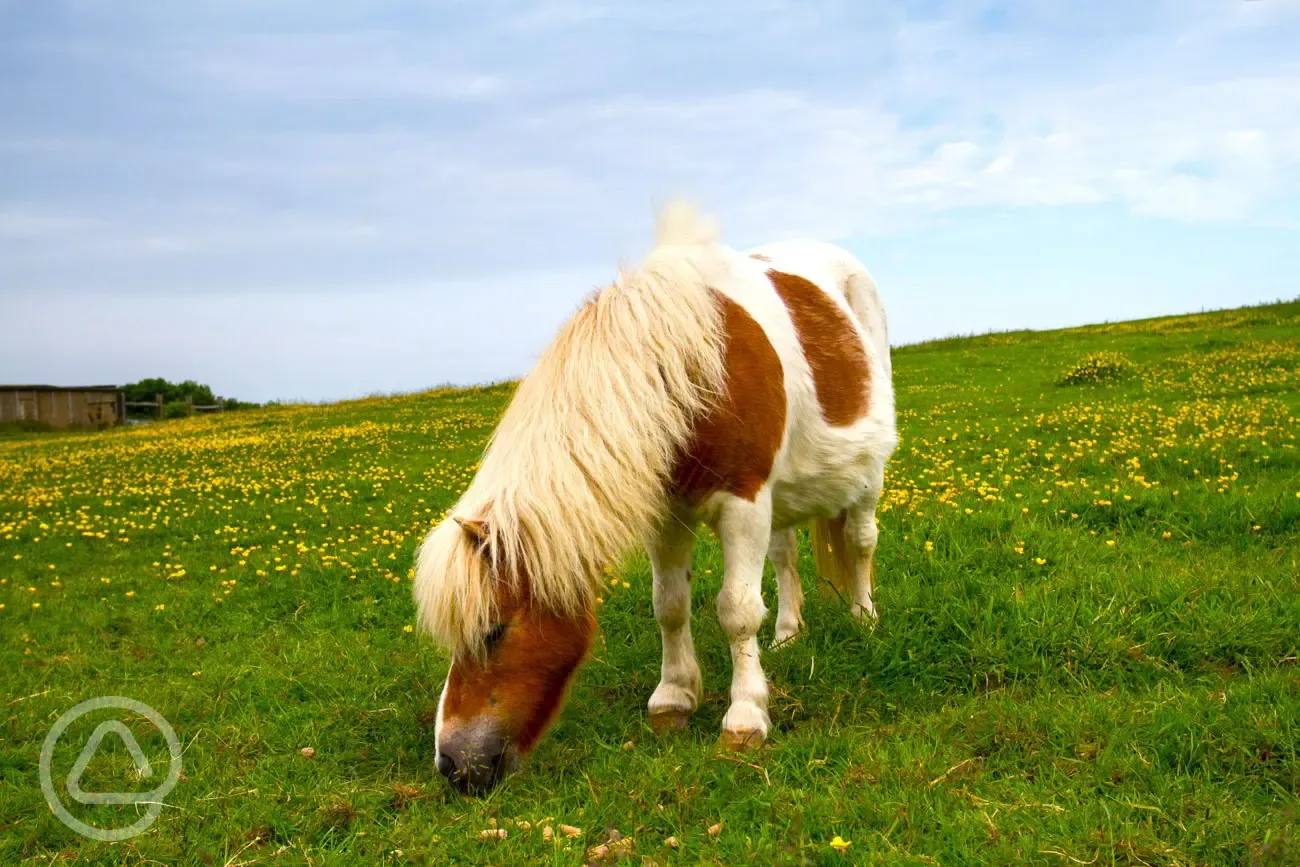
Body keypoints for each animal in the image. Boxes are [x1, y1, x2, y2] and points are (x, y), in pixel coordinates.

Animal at [413, 201, 897, 794]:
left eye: (493, 631)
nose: (453, 765)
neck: (687, 367)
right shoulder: (668, 516)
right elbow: (669, 605)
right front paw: (673, 699)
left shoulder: (744, 504)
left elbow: (737, 611)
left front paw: (744, 718)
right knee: (785, 558)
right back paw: (787, 635)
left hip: (868, 478)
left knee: (861, 541)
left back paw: (863, 616)